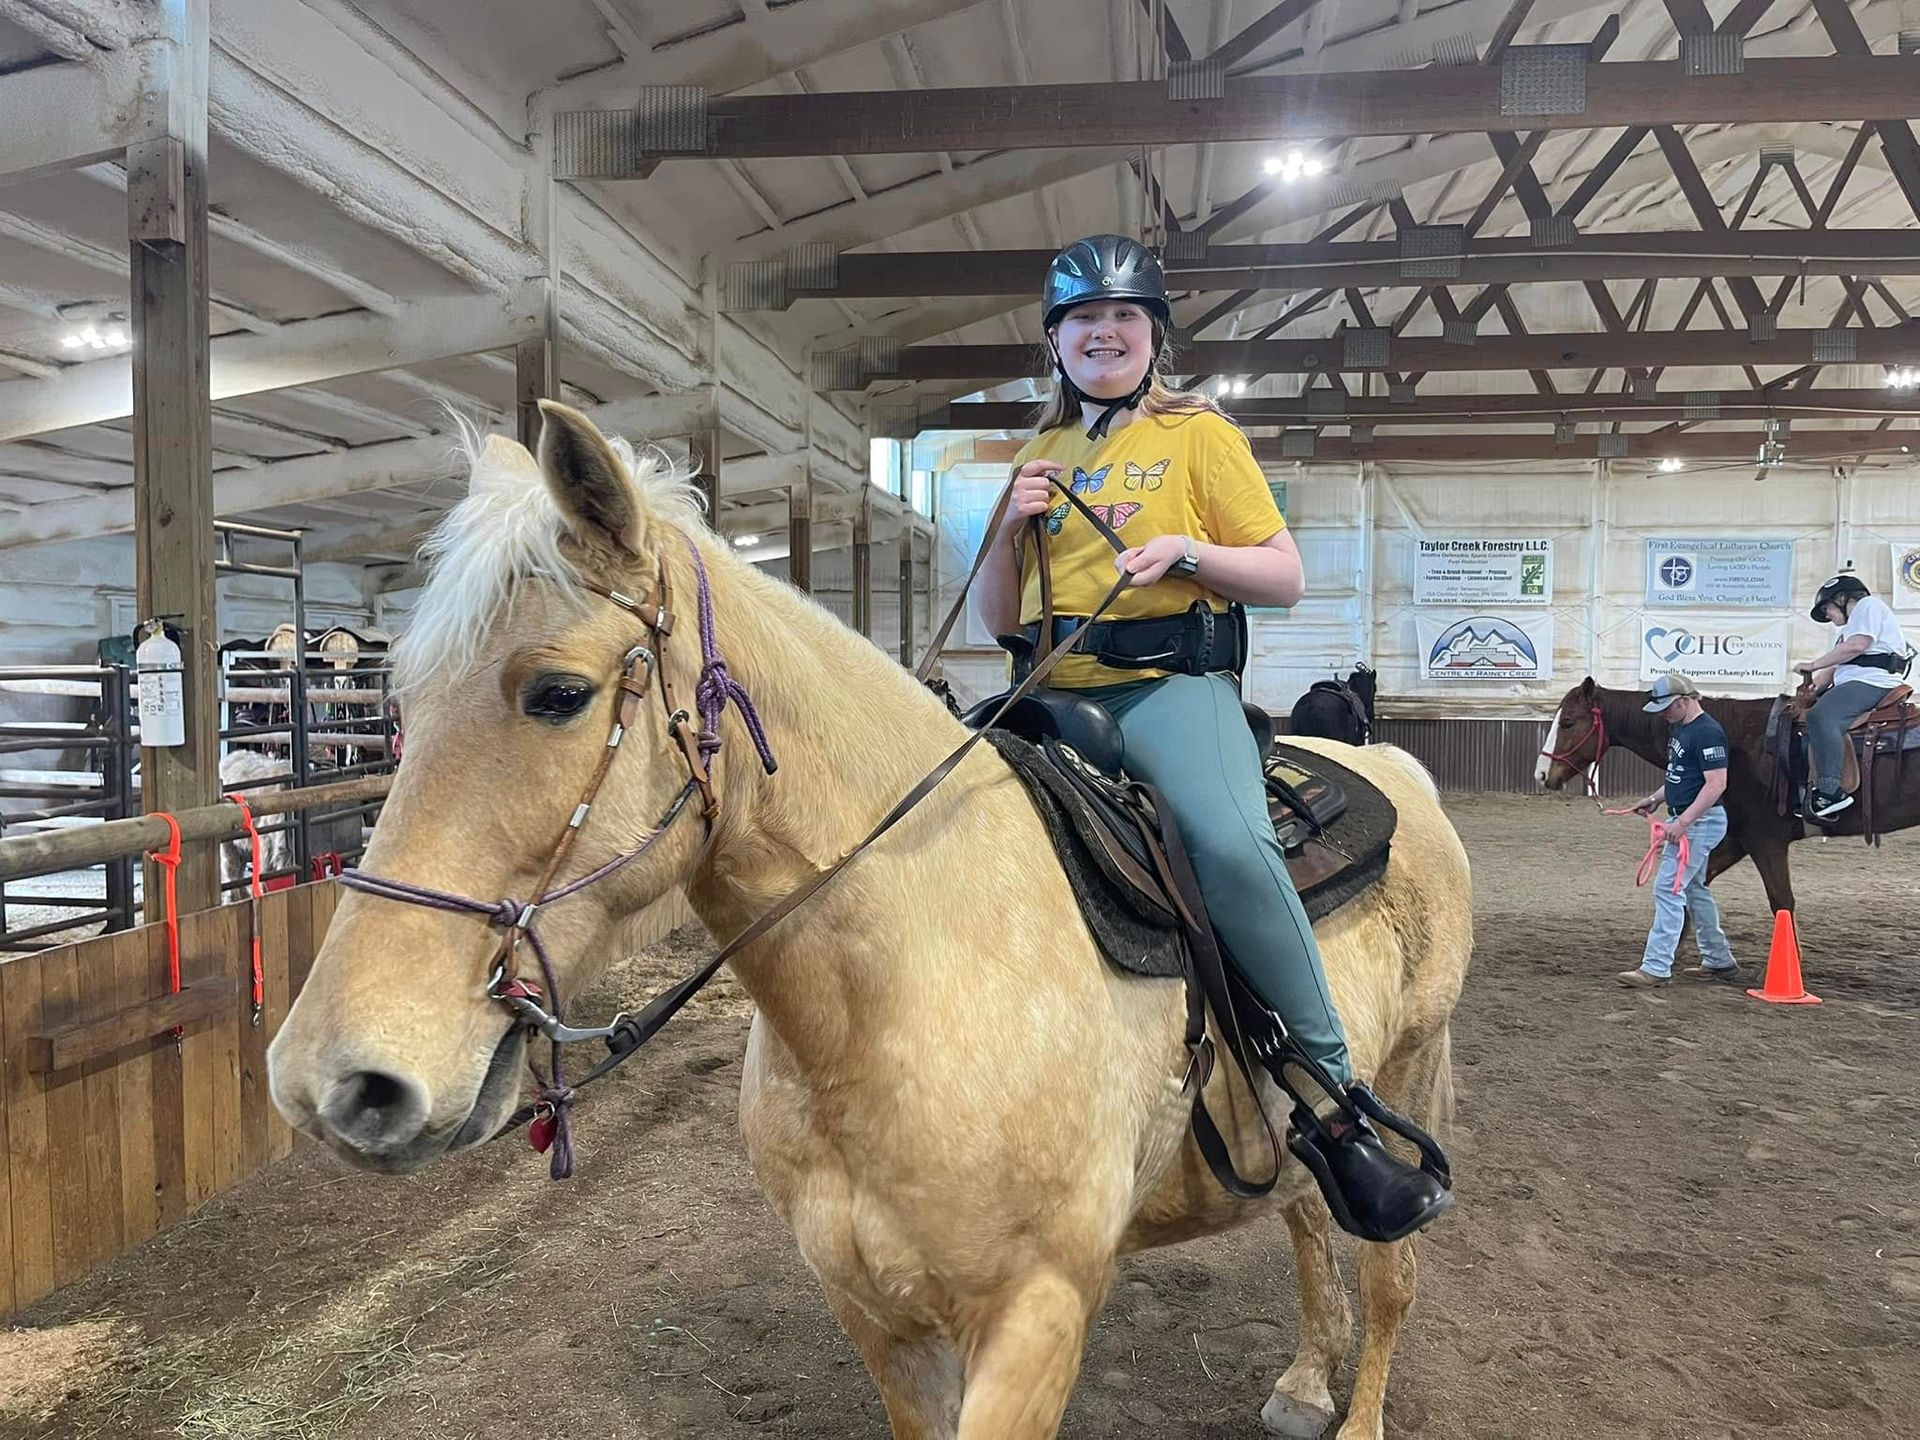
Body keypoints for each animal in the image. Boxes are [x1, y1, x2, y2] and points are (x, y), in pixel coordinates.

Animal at [266, 403, 1474, 1440]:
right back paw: (1305, 1383)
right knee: (1305, 1218)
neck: (904, 990)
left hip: (1410, 1069)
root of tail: (1395, 768)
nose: (333, 1082)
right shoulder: (880, 1320)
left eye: (556, 693)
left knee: (1388, 1269)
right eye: (397, 703)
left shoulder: (1037, 1322)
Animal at [1535, 676, 1920, 915]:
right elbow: (1695, 886)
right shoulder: (1738, 838)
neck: (1733, 738)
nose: (1541, 774)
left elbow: (1782, 901)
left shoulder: (1765, 839)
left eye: (1567, 722)